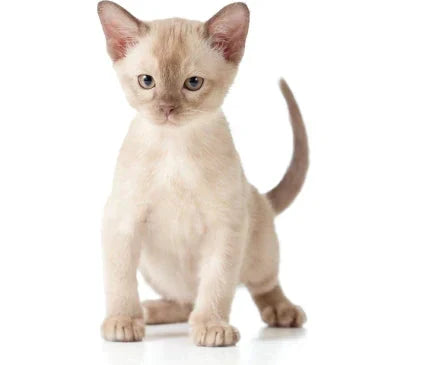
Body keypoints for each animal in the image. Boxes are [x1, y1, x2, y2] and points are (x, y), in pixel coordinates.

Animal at [97, 1, 308, 346]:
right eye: (146, 81)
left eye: (193, 83)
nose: (167, 109)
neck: (174, 146)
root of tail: (262, 198)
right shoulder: (123, 221)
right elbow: (119, 280)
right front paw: (123, 320)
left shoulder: (225, 225)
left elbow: (217, 282)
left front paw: (212, 326)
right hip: (156, 269)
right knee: (184, 301)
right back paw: (150, 311)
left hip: (260, 248)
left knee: (263, 284)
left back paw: (282, 311)